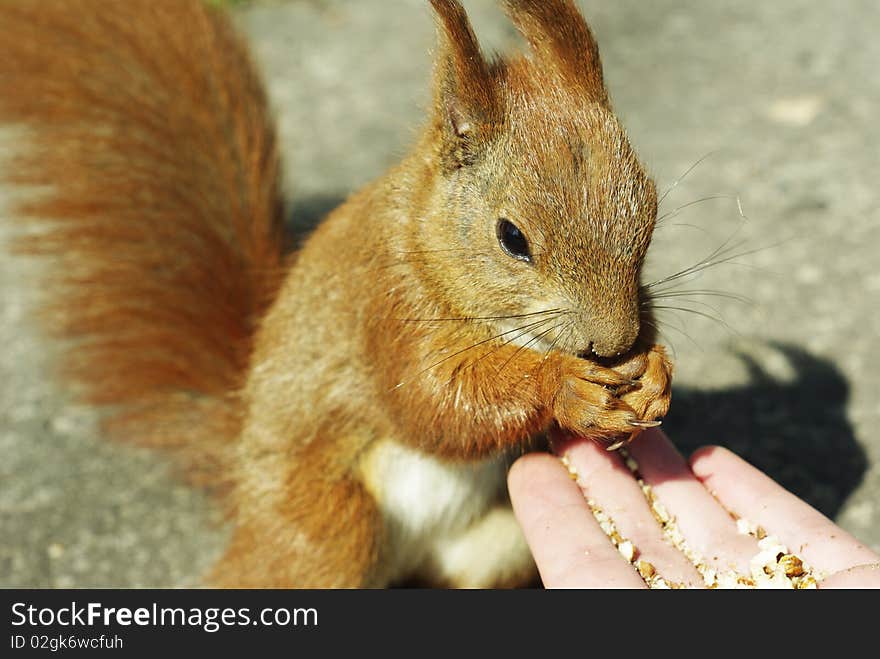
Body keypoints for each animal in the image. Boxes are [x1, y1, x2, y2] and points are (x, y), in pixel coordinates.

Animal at [1, 0, 672, 588]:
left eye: (650, 204)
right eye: (512, 237)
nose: (614, 342)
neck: (423, 238)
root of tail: (244, 478)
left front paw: (655, 372)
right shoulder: (385, 303)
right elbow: (431, 399)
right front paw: (565, 385)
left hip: (497, 542)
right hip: (329, 527)